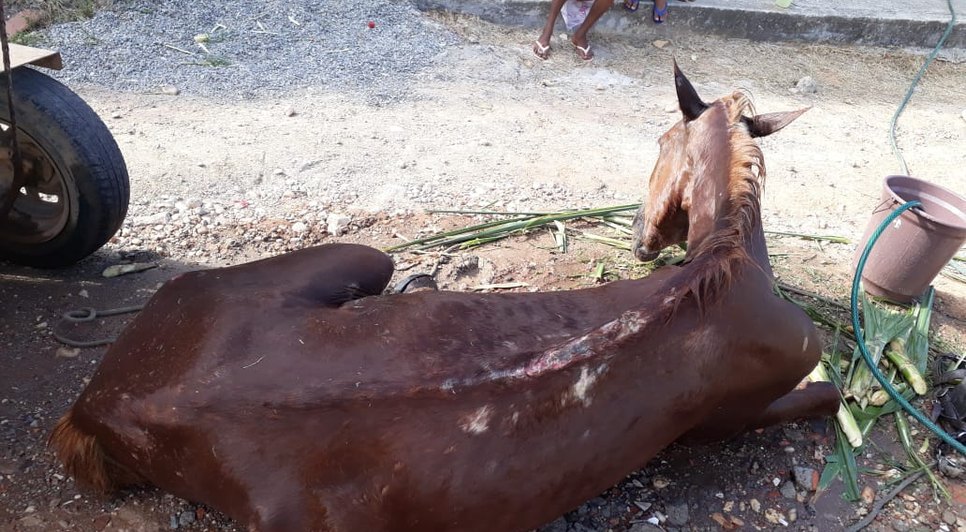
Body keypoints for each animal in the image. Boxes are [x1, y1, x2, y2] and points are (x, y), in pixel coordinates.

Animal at [49, 64, 839, 532]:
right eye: (660, 135)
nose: (644, 241)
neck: (725, 262)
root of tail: (104, 401)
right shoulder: (736, 413)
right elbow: (830, 395)